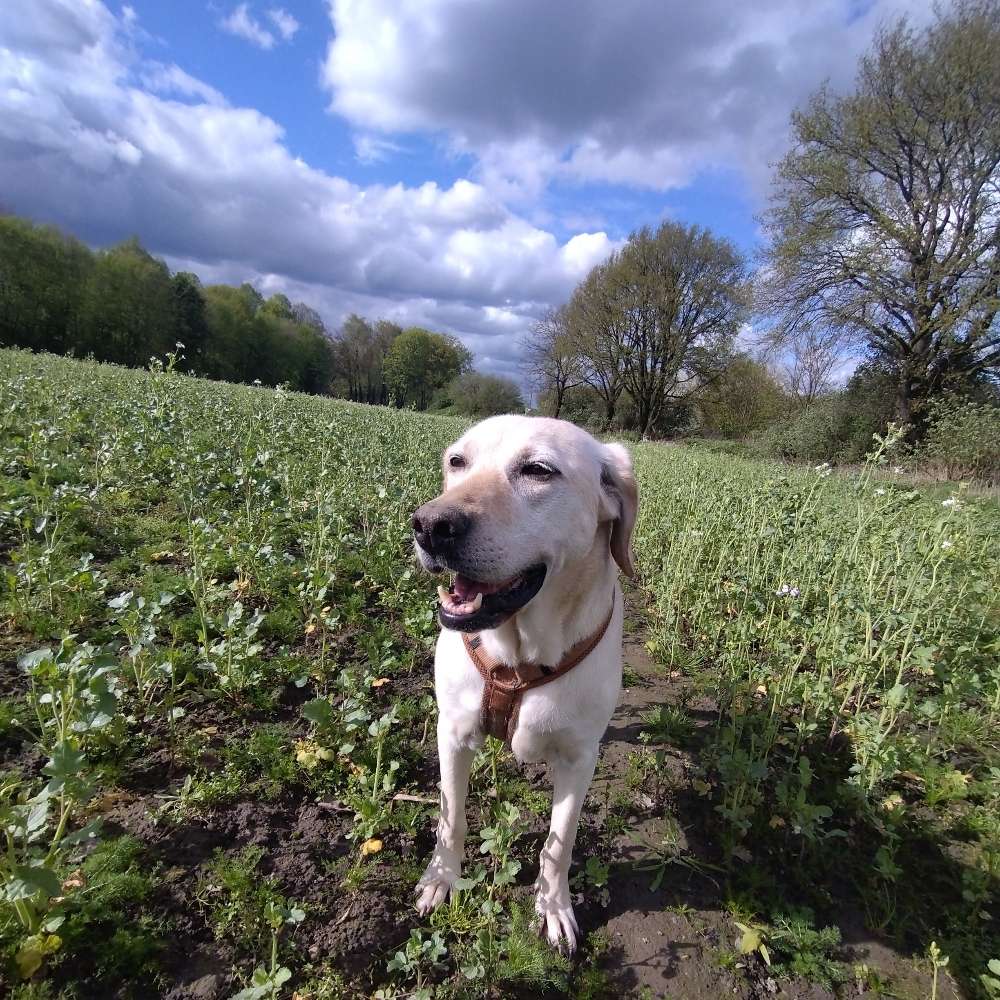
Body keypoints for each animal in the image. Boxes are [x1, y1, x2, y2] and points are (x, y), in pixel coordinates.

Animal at [408, 414, 636, 952]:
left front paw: (554, 908)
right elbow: (451, 817)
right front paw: (441, 880)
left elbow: (559, 843)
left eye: (537, 470)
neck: (520, 658)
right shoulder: (452, 733)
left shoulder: (578, 759)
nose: (430, 526)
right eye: (457, 461)